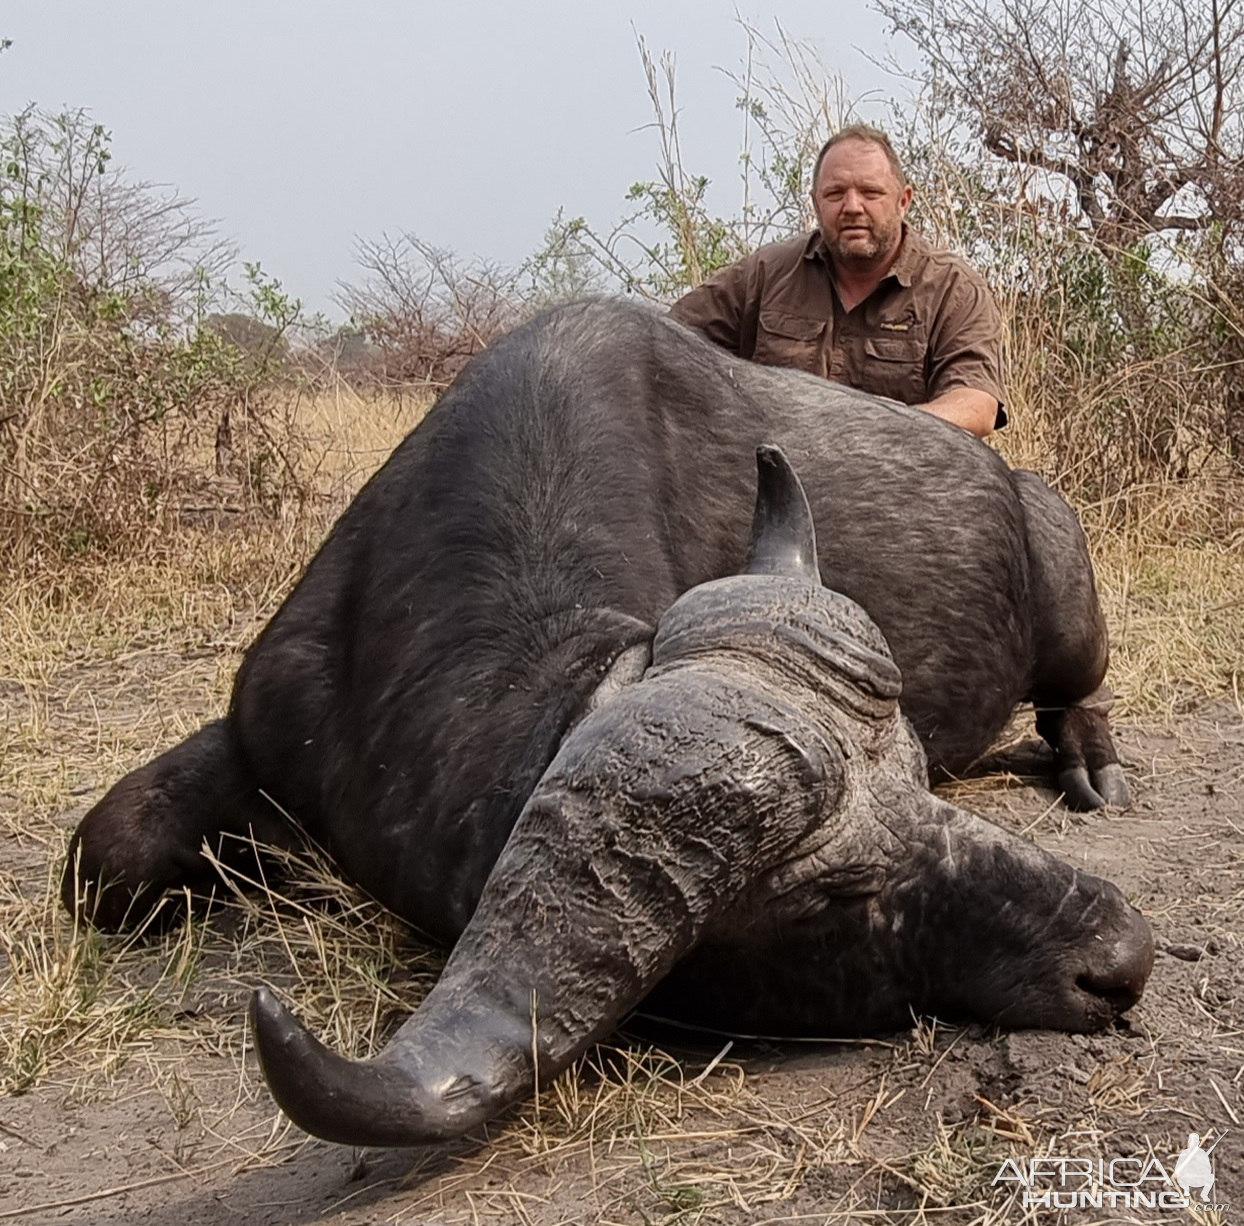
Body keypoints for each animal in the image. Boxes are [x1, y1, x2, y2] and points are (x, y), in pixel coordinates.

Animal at [63, 298, 1149, 1148]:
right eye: (836, 895)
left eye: (920, 785)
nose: (1122, 956)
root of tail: (1022, 491)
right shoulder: (264, 722)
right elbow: (104, 850)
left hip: (1071, 614)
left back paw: (1089, 760)